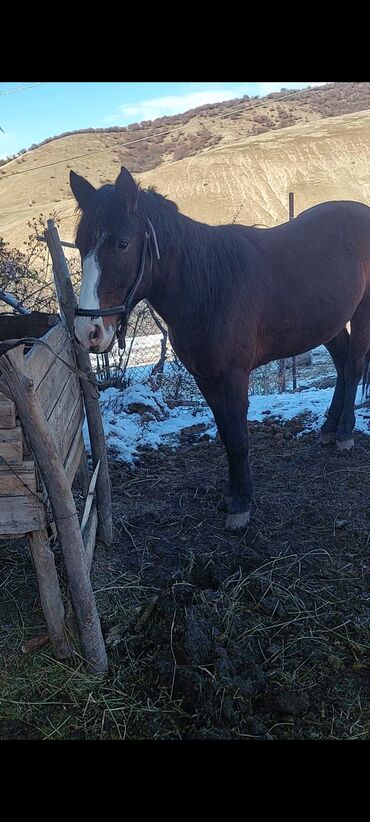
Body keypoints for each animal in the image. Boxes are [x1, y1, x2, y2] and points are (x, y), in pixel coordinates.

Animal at [69, 166, 370, 536]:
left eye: (122, 244)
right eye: (80, 244)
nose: (88, 331)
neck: (207, 287)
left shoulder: (234, 376)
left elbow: (239, 438)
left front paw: (241, 505)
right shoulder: (204, 377)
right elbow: (226, 435)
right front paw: (230, 495)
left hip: (361, 310)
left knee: (353, 366)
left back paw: (343, 434)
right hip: (327, 321)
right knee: (341, 365)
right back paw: (328, 429)